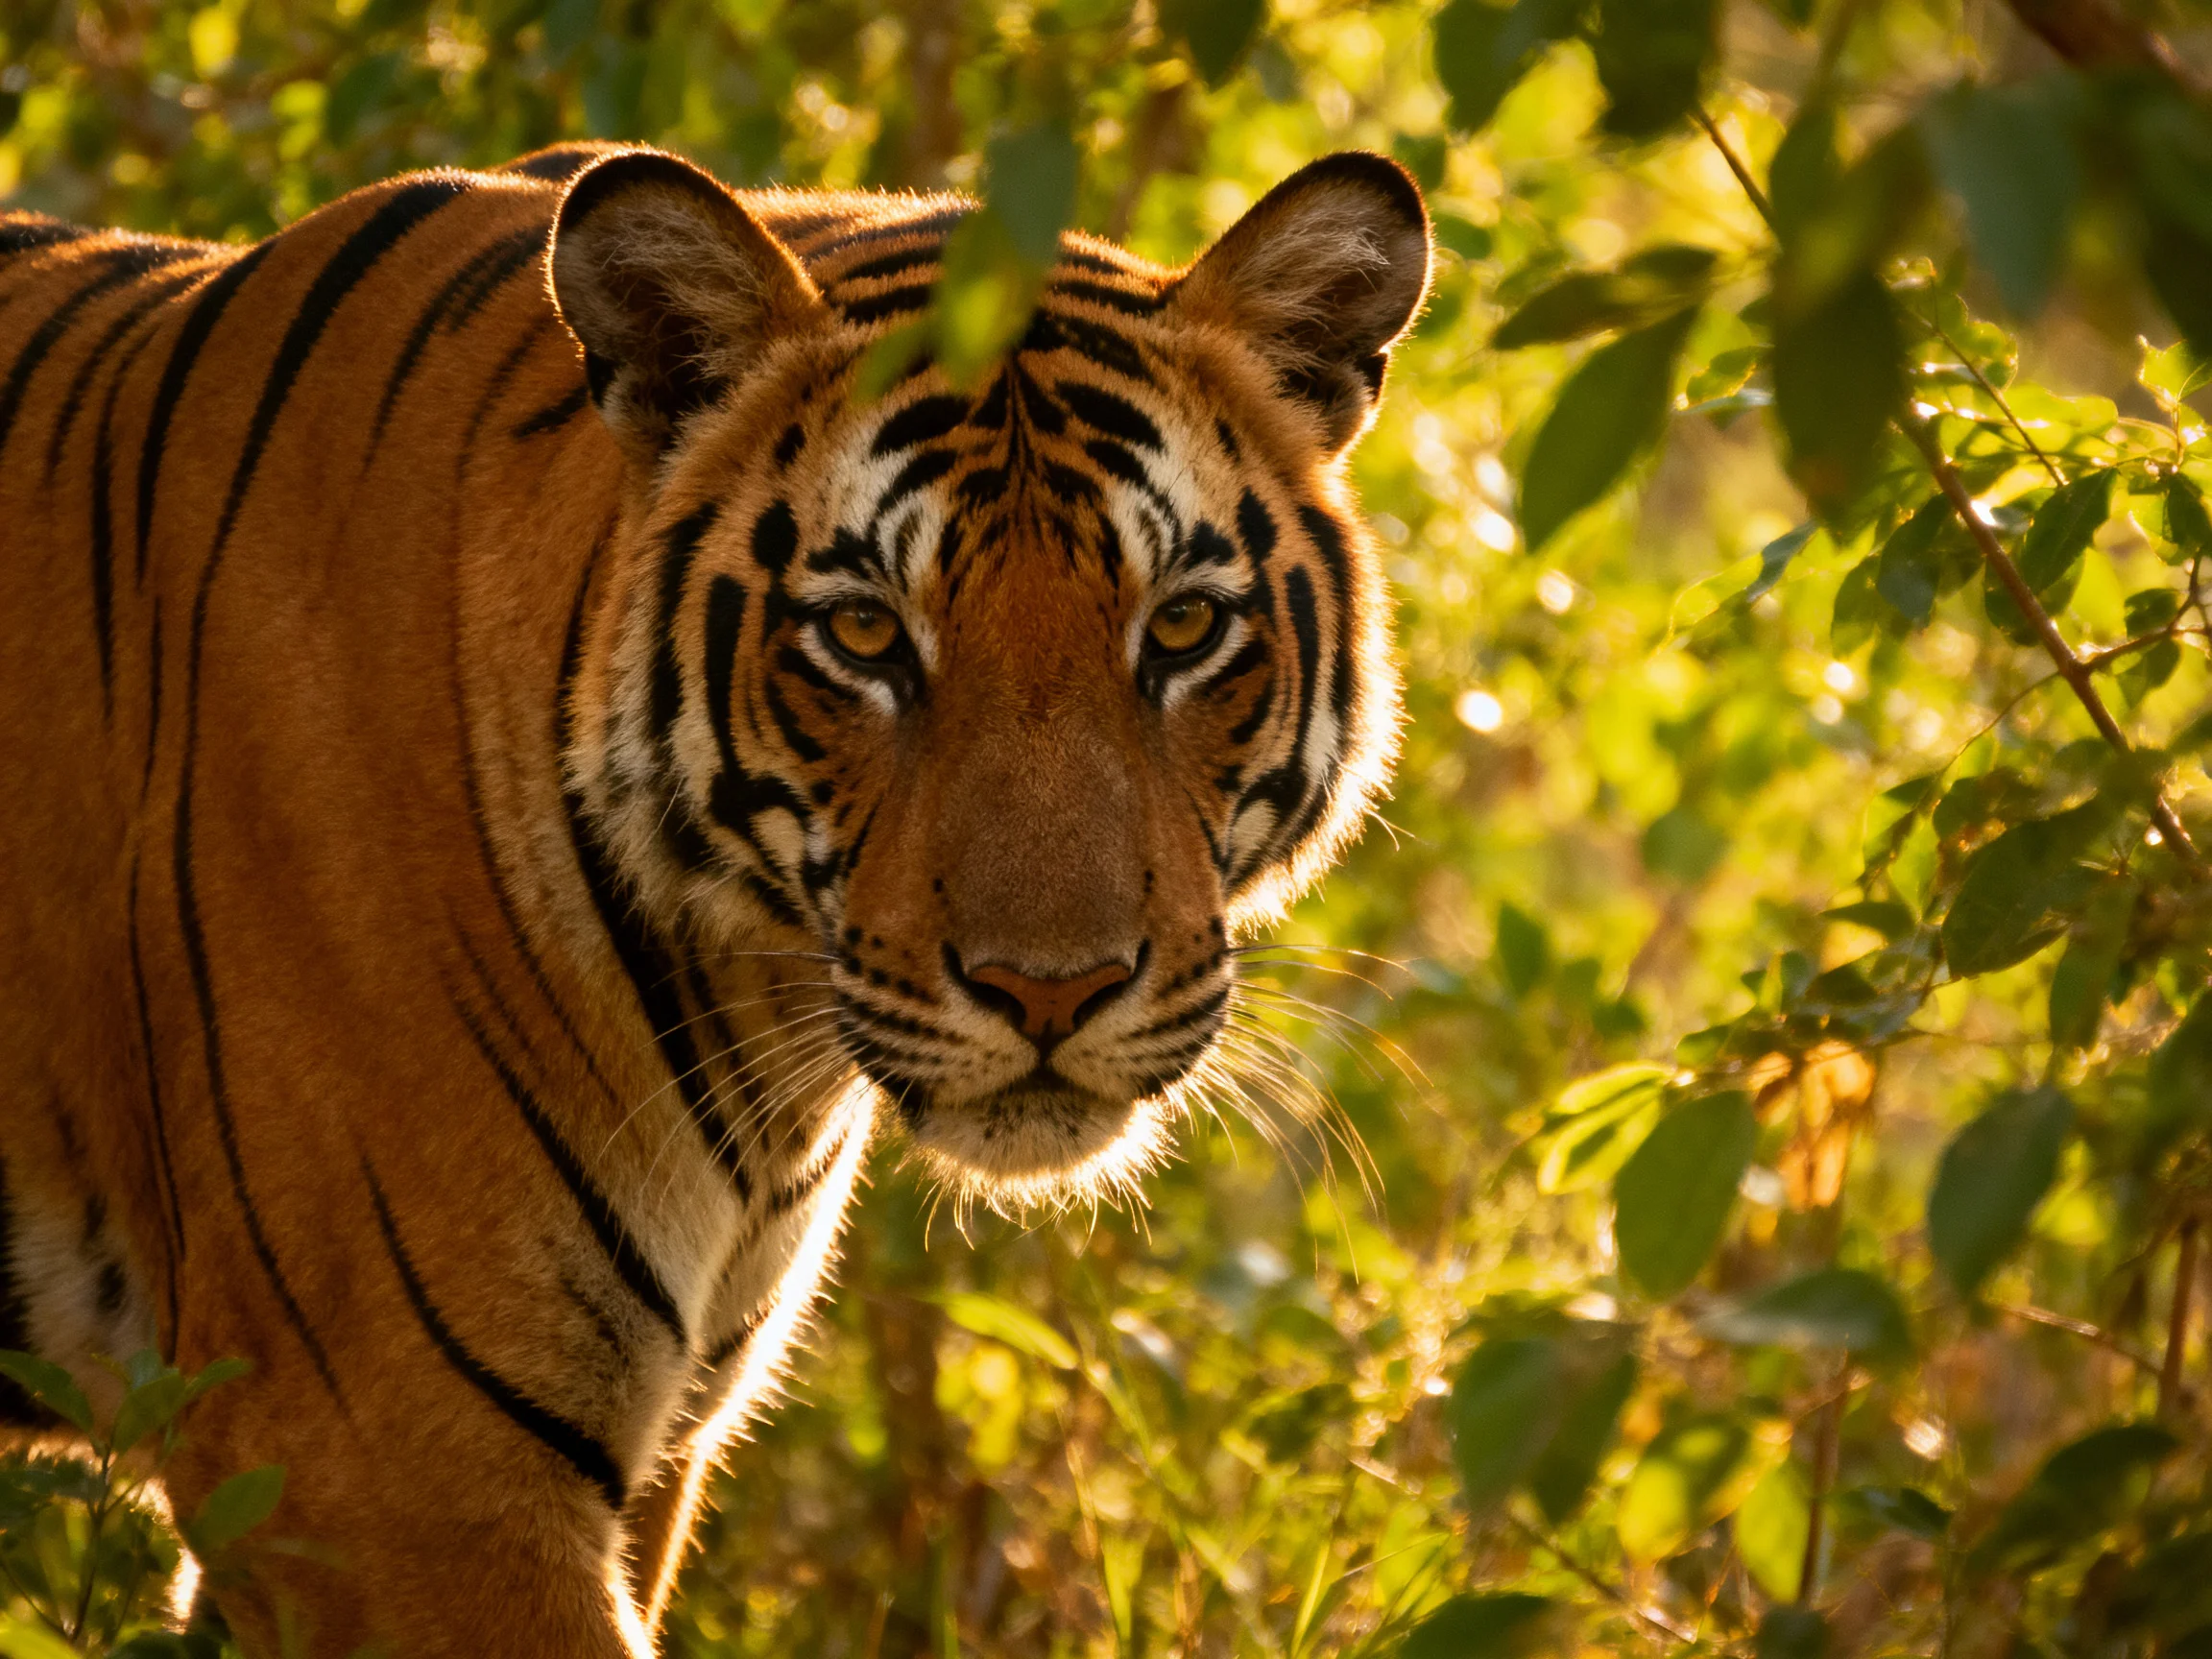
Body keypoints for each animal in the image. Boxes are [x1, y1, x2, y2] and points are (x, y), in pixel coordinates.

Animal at [0, 139, 1429, 1655]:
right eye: (863, 631)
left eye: (1185, 626)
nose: (1053, 993)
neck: (750, 1023)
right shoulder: (390, 1465)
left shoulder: (629, 1453)